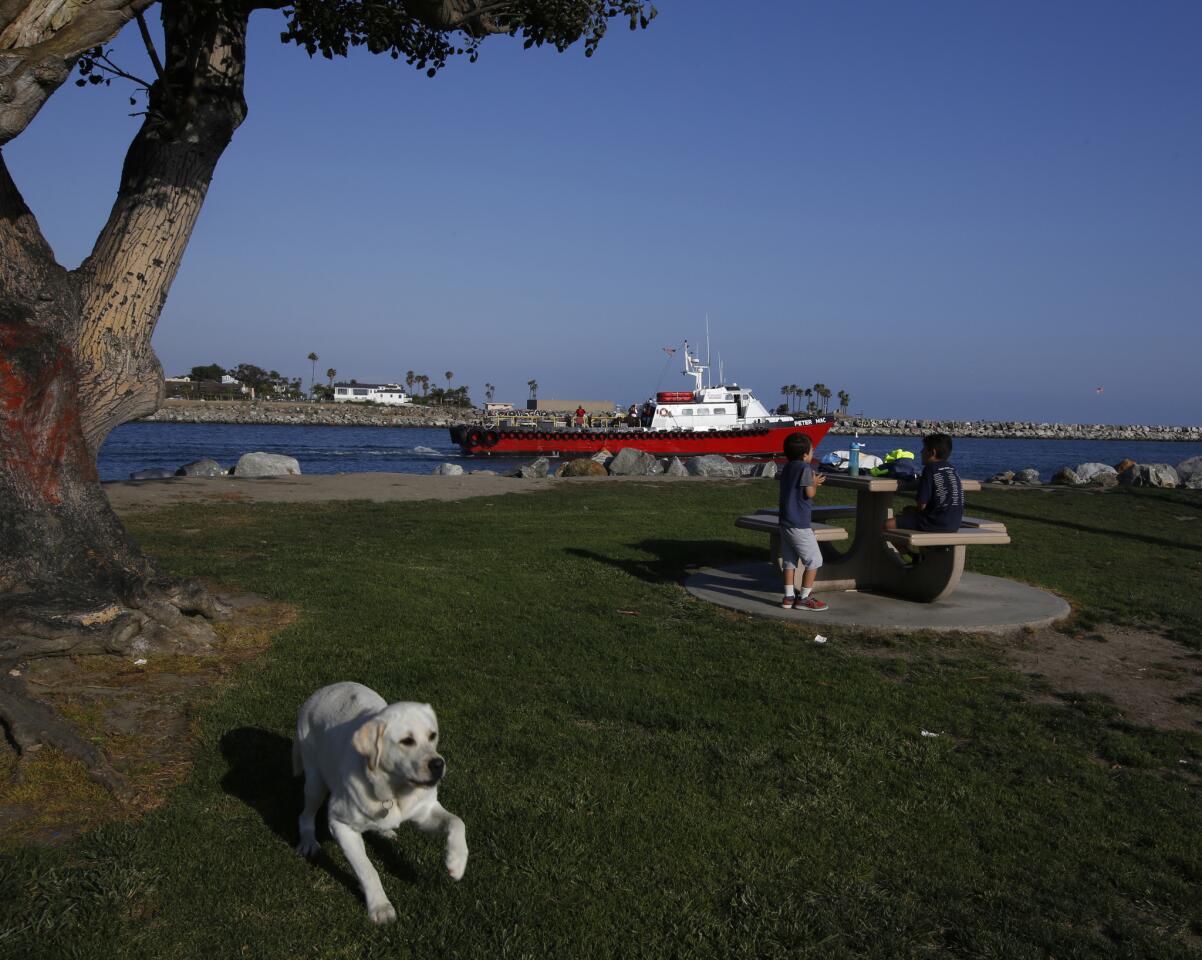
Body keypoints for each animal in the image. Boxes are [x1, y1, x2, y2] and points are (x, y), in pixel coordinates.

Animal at [293, 677, 466, 927]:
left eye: (433, 736)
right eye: (407, 741)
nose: (438, 764)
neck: (393, 792)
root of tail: (320, 692)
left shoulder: (424, 812)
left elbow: (457, 822)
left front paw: (456, 861)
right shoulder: (340, 825)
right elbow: (367, 869)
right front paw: (380, 907)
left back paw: (385, 831)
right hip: (315, 782)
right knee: (305, 814)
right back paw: (308, 841)